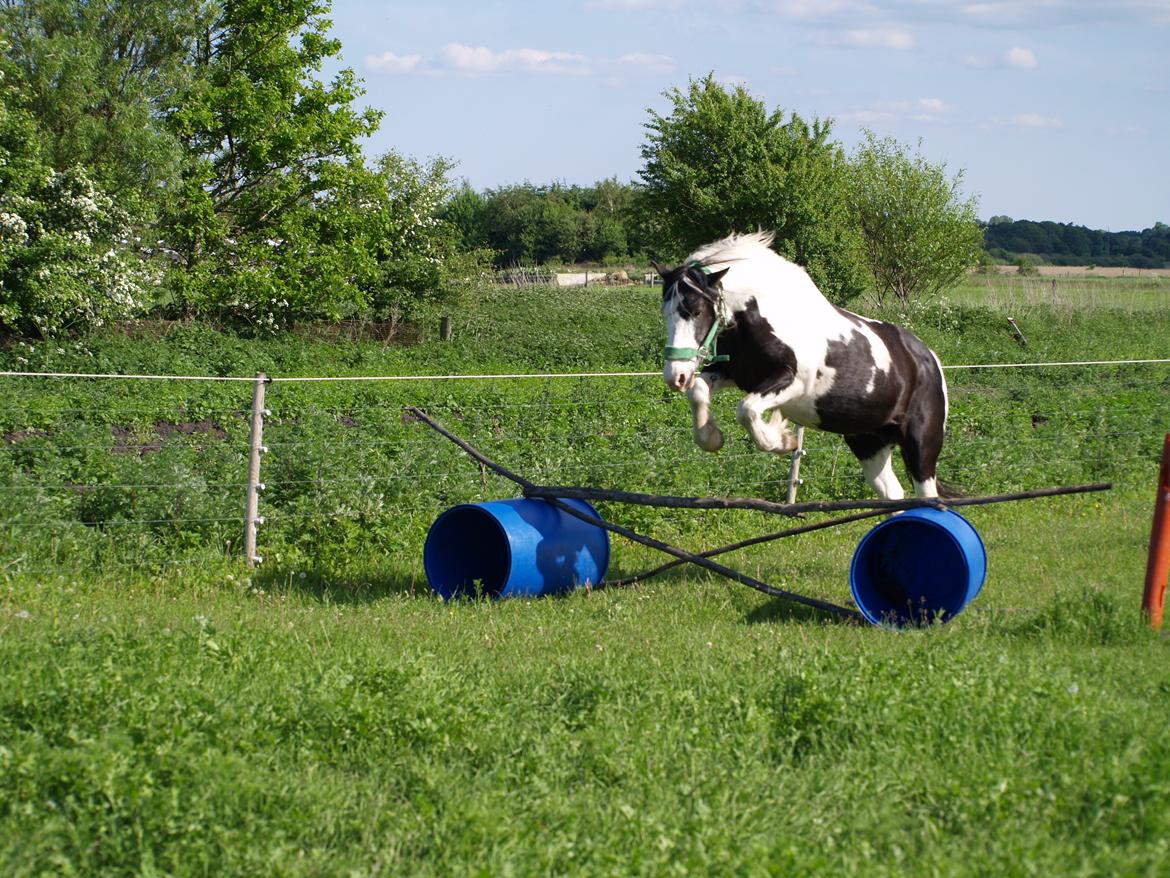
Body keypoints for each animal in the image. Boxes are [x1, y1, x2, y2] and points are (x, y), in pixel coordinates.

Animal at [659, 231, 950, 501]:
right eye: (665, 313)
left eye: (696, 311)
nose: (676, 376)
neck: (769, 314)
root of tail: (929, 359)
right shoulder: (732, 373)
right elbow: (698, 391)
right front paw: (711, 438)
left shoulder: (793, 382)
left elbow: (747, 410)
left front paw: (781, 439)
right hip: (868, 442)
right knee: (893, 494)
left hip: (921, 447)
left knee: (927, 496)